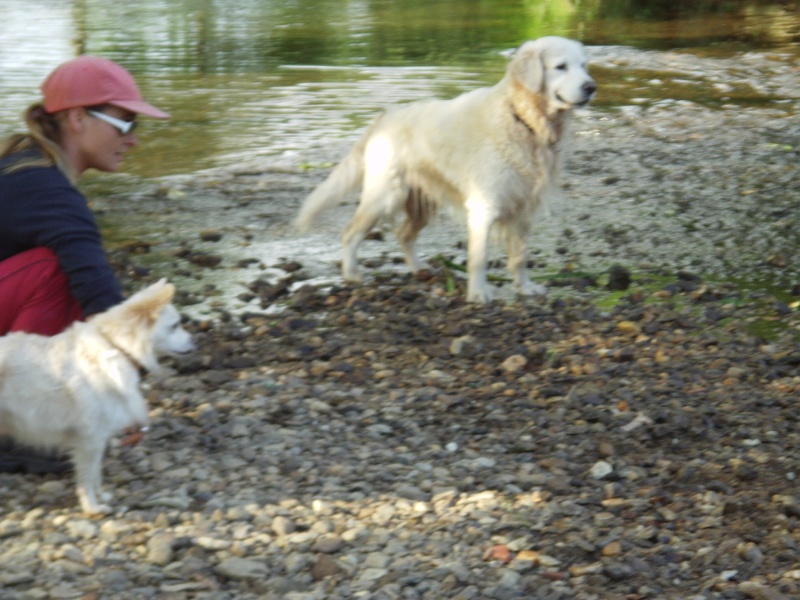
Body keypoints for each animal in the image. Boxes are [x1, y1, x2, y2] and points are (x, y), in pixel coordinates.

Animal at [0, 278, 194, 512]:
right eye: (175, 325)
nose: (194, 342)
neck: (118, 347)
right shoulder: (90, 439)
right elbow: (88, 478)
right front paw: (92, 507)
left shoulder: (98, 438)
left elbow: (96, 475)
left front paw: (102, 497)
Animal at [296, 35, 596, 302]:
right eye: (561, 66)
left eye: (584, 65)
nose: (591, 87)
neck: (523, 119)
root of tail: (384, 118)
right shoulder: (484, 205)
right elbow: (479, 258)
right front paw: (478, 294)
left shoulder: (524, 208)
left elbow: (520, 256)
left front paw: (524, 287)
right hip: (384, 196)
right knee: (350, 234)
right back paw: (352, 274)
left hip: (421, 203)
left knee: (404, 234)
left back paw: (419, 270)